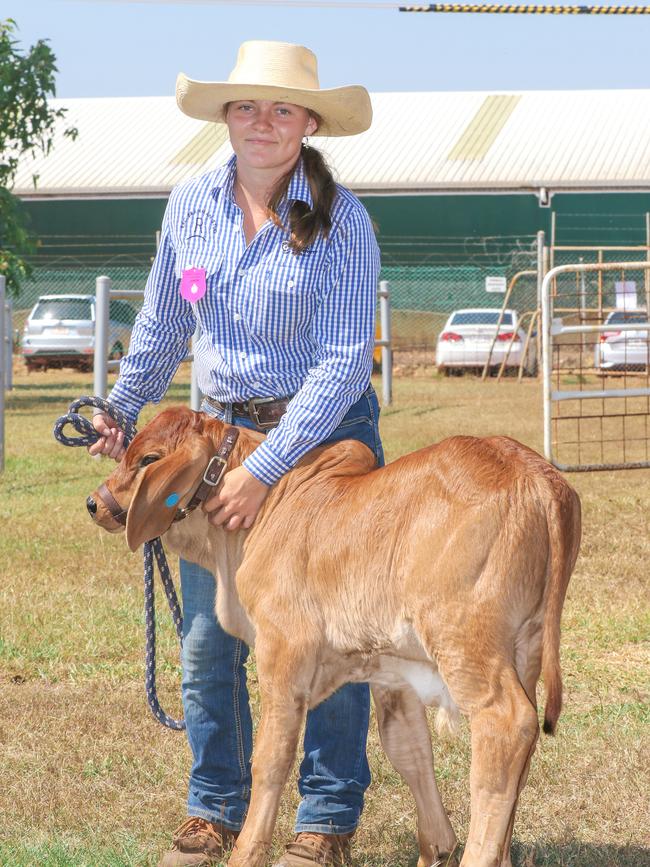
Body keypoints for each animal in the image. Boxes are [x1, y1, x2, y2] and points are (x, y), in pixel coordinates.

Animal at [88, 408, 580, 867]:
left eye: (149, 459)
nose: (95, 503)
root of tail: (534, 473)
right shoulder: (391, 672)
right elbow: (409, 750)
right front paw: (436, 848)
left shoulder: (282, 658)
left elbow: (270, 759)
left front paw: (246, 852)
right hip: (525, 647)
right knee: (520, 750)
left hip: (466, 645)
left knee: (507, 724)